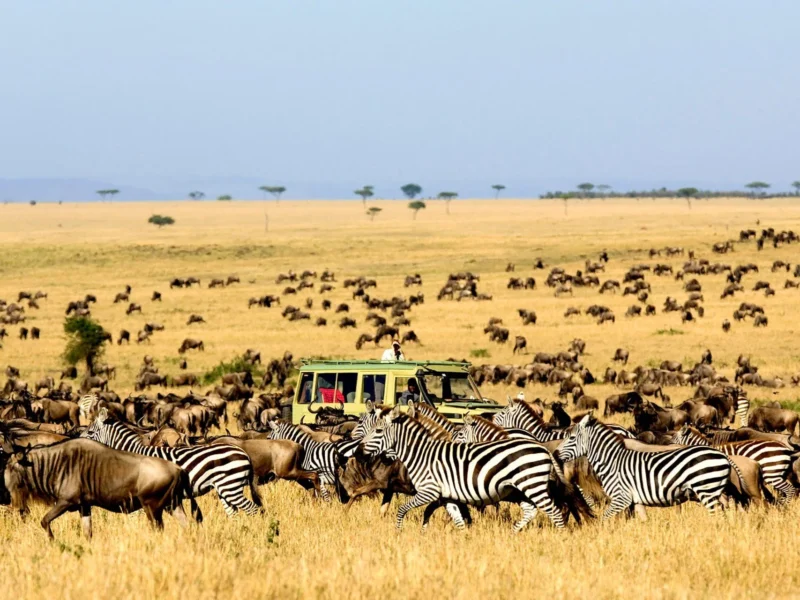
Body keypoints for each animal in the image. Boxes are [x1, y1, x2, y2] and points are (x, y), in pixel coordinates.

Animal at [83, 408, 262, 518]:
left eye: (90, 432)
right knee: (234, 513)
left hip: (230, 486)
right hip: (224, 488)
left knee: (253, 509)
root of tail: (244, 453)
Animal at [361, 406, 570, 532]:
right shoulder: (447, 496)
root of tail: (542, 447)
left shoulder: (429, 491)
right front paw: (464, 540)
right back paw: (512, 534)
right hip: (522, 488)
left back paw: (560, 537)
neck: (421, 454)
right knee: (531, 510)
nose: (360, 450)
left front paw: (399, 532)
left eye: (378, 431)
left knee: (554, 511)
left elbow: (402, 509)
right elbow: (458, 520)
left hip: (532, 484)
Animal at [557, 415, 735, 518]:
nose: (556, 453)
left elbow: (605, 518)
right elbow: (642, 520)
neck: (612, 461)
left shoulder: (621, 497)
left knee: (718, 513)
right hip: (713, 490)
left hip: (706, 490)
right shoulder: (635, 499)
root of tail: (723, 456)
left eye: (571, 438)